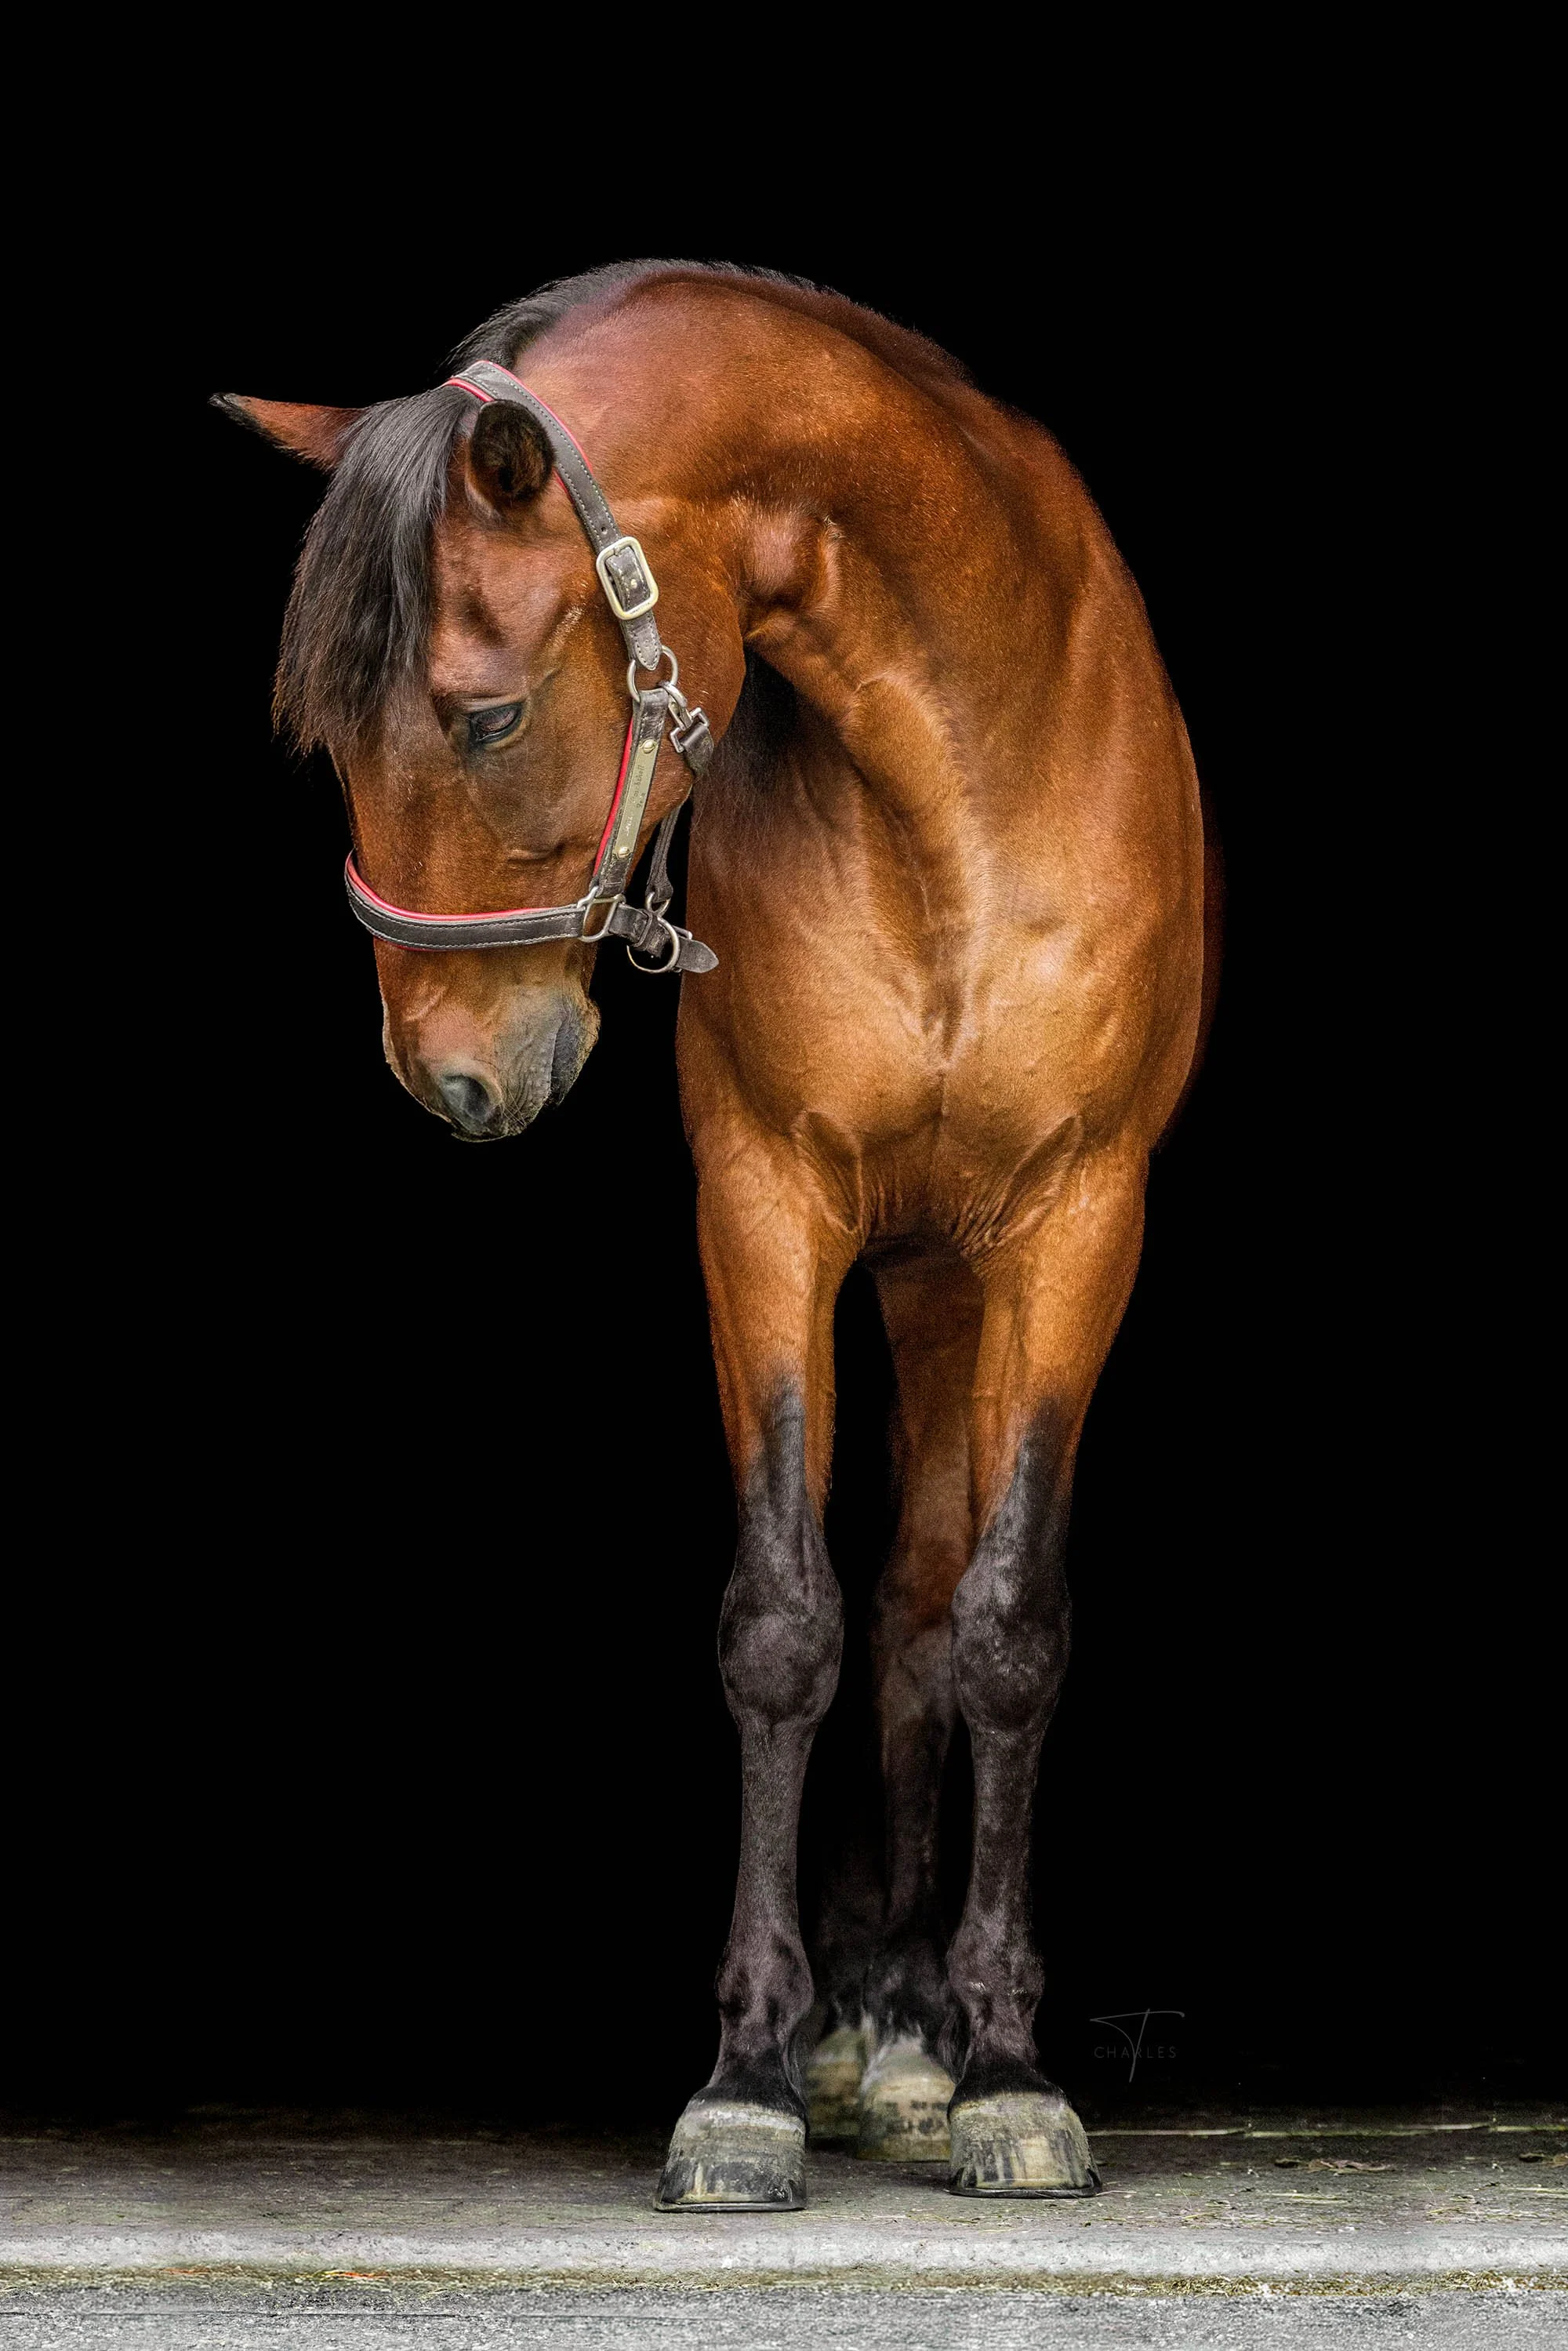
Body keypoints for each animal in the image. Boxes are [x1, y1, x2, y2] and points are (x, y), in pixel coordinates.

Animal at [219, 261, 1207, 2210]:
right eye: (322, 732)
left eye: (479, 715)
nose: (453, 1071)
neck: (957, 775)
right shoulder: (766, 1203)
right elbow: (782, 1619)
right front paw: (749, 2072)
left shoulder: (1078, 1217)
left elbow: (1005, 1622)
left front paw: (1006, 2070)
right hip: (904, 1269)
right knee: (887, 1599)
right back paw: (873, 2028)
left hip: (958, 1273)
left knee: (931, 1593)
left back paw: (918, 2030)